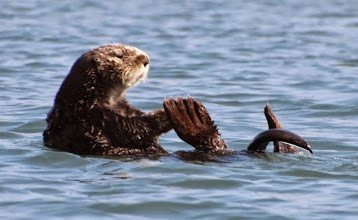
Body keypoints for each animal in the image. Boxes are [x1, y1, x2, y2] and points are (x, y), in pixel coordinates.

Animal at [42, 43, 310, 157]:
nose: (145, 59)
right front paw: (165, 113)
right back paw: (190, 114)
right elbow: (136, 129)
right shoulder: (98, 115)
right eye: (119, 54)